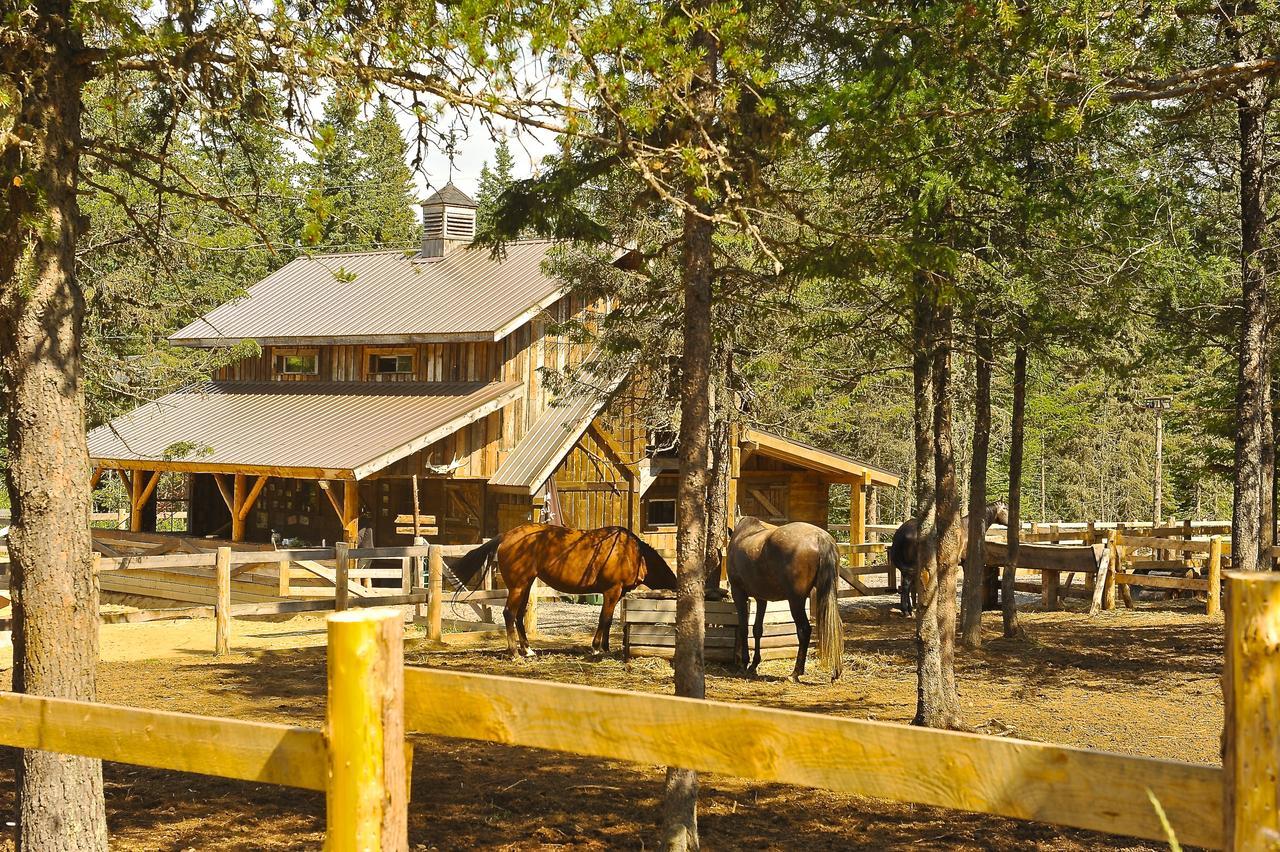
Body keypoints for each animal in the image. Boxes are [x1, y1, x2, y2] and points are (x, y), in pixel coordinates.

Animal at [448, 524, 675, 654]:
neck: (632, 552)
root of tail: (506, 536)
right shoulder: (612, 591)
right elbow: (604, 619)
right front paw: (596, 649)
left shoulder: (617, 594)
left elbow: (609, 622)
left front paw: (606, 648)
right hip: (518, 586)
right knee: (509, 613)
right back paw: (514, 652)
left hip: (525, 586)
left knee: (519, 615)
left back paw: (528, 650)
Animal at [732, 514, 839, 680]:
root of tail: (819, 537)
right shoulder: (761, 598)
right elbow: (757, 629)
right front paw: (754, 665)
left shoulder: (738, 593)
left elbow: (744, 628)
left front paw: (744, 663)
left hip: (796, 601)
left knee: (804, 630)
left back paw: (795, 673)